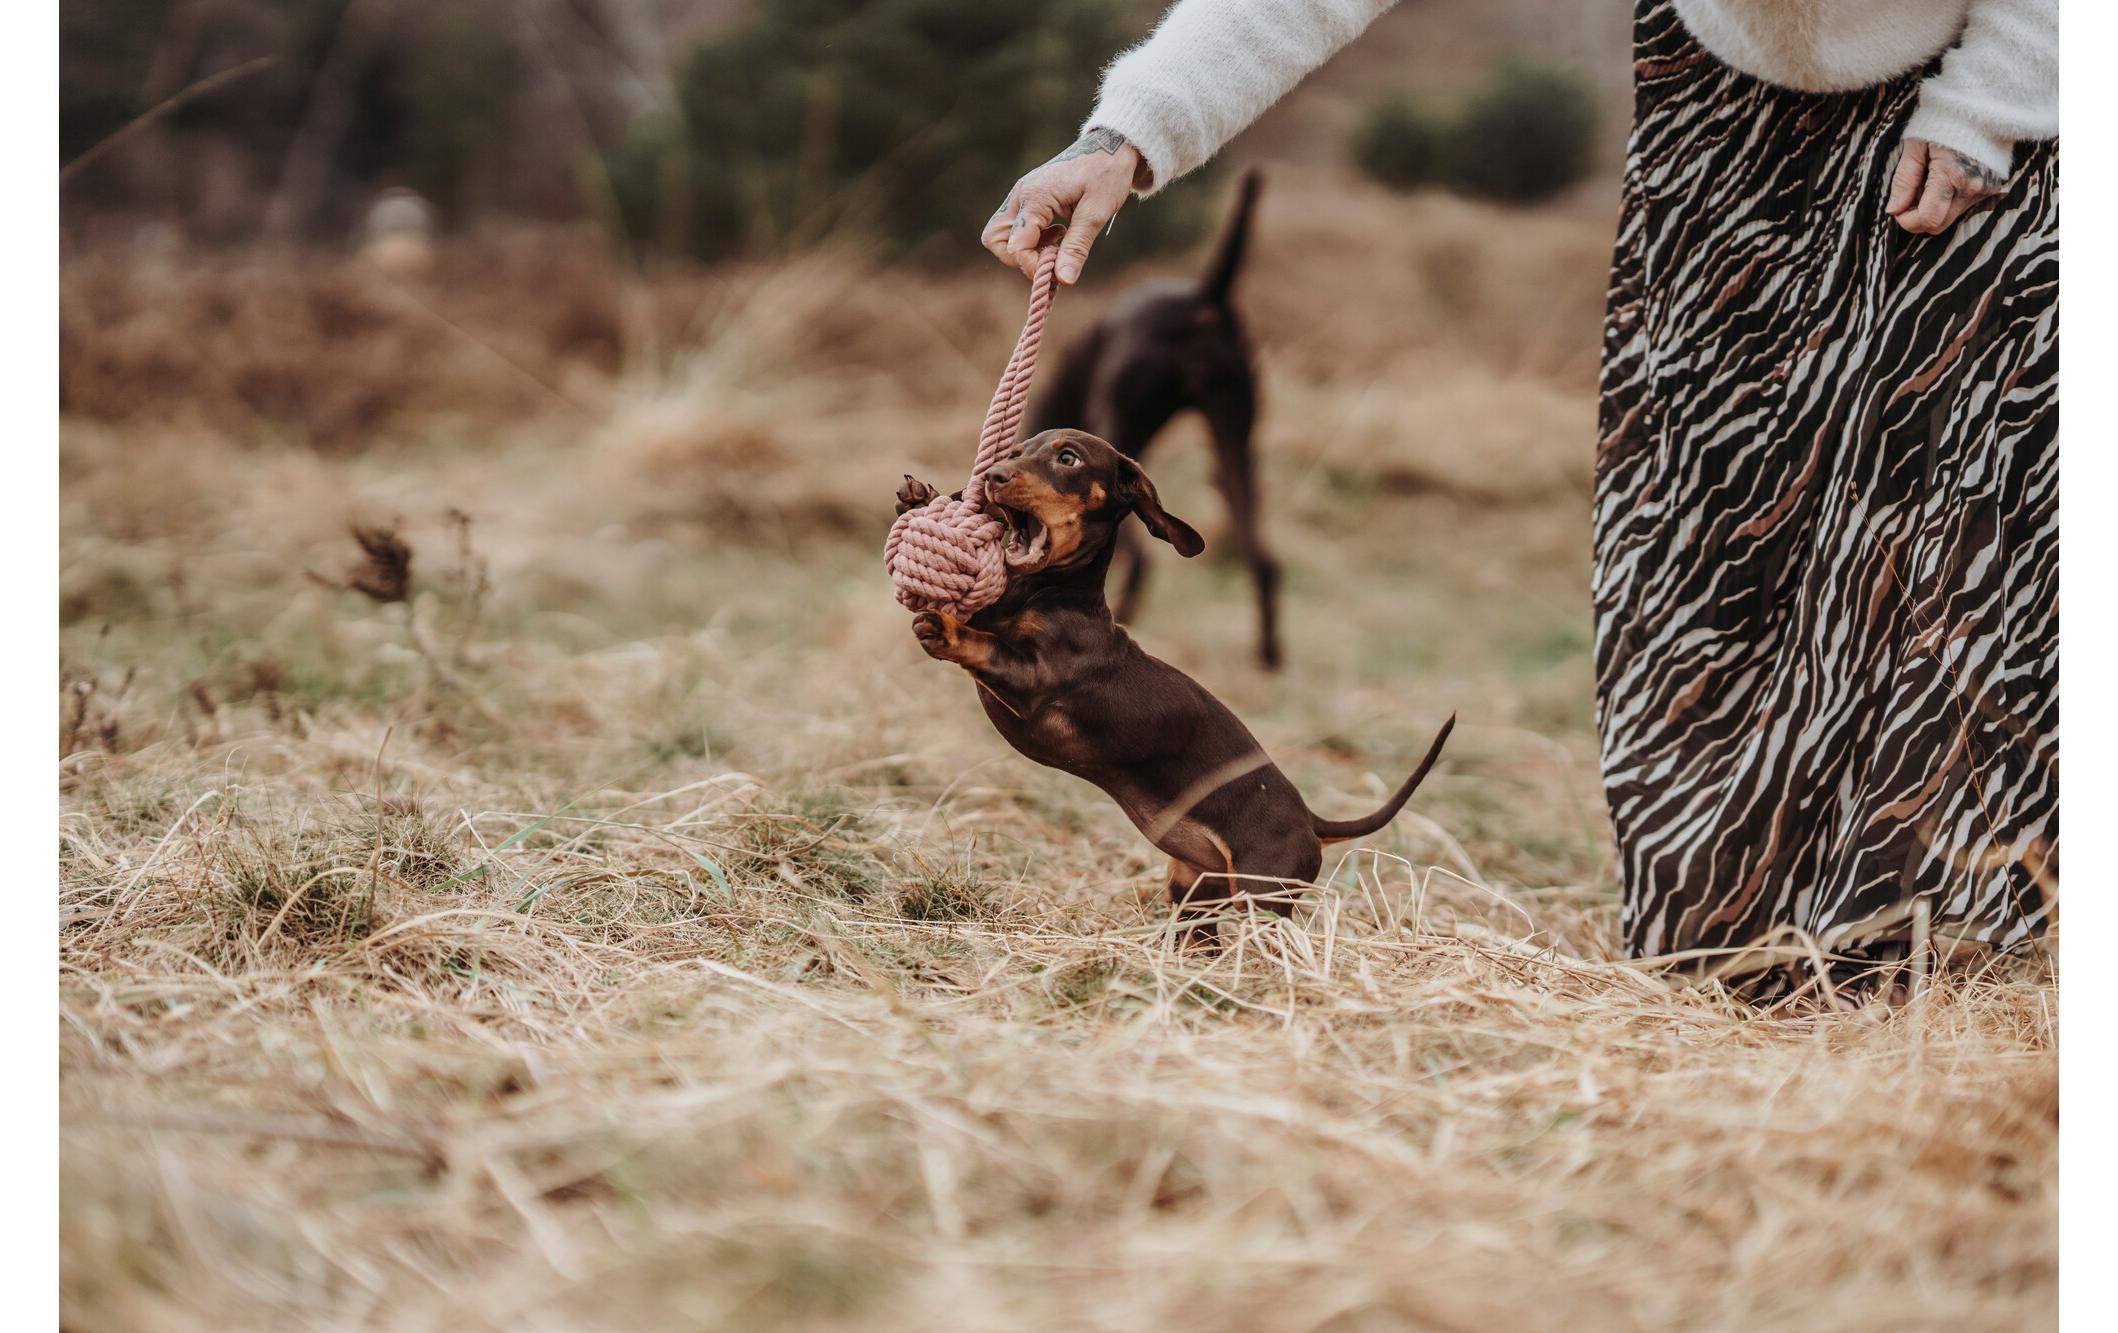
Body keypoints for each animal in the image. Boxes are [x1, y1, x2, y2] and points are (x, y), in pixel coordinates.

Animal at [893, 425, 1457, 936]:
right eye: (1014, 451)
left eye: (1068, 458)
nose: (992, 476)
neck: (1046, 592)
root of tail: (1312, 821)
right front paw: (920, 500)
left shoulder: (1036, 679)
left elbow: (985, 646)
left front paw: (945, 631)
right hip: (1195, 891)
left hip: (1261, 897)